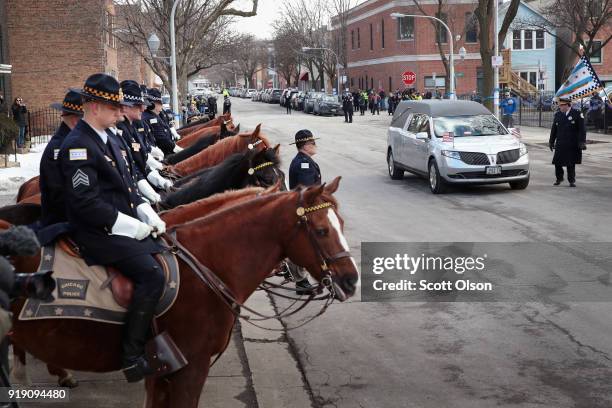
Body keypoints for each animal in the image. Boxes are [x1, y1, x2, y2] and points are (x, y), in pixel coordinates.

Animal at [8, 179, 358, 408]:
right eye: (321, 230)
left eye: (341, 223)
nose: (351, 280)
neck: (206, 263)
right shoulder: (189, 368)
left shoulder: (164, 372)